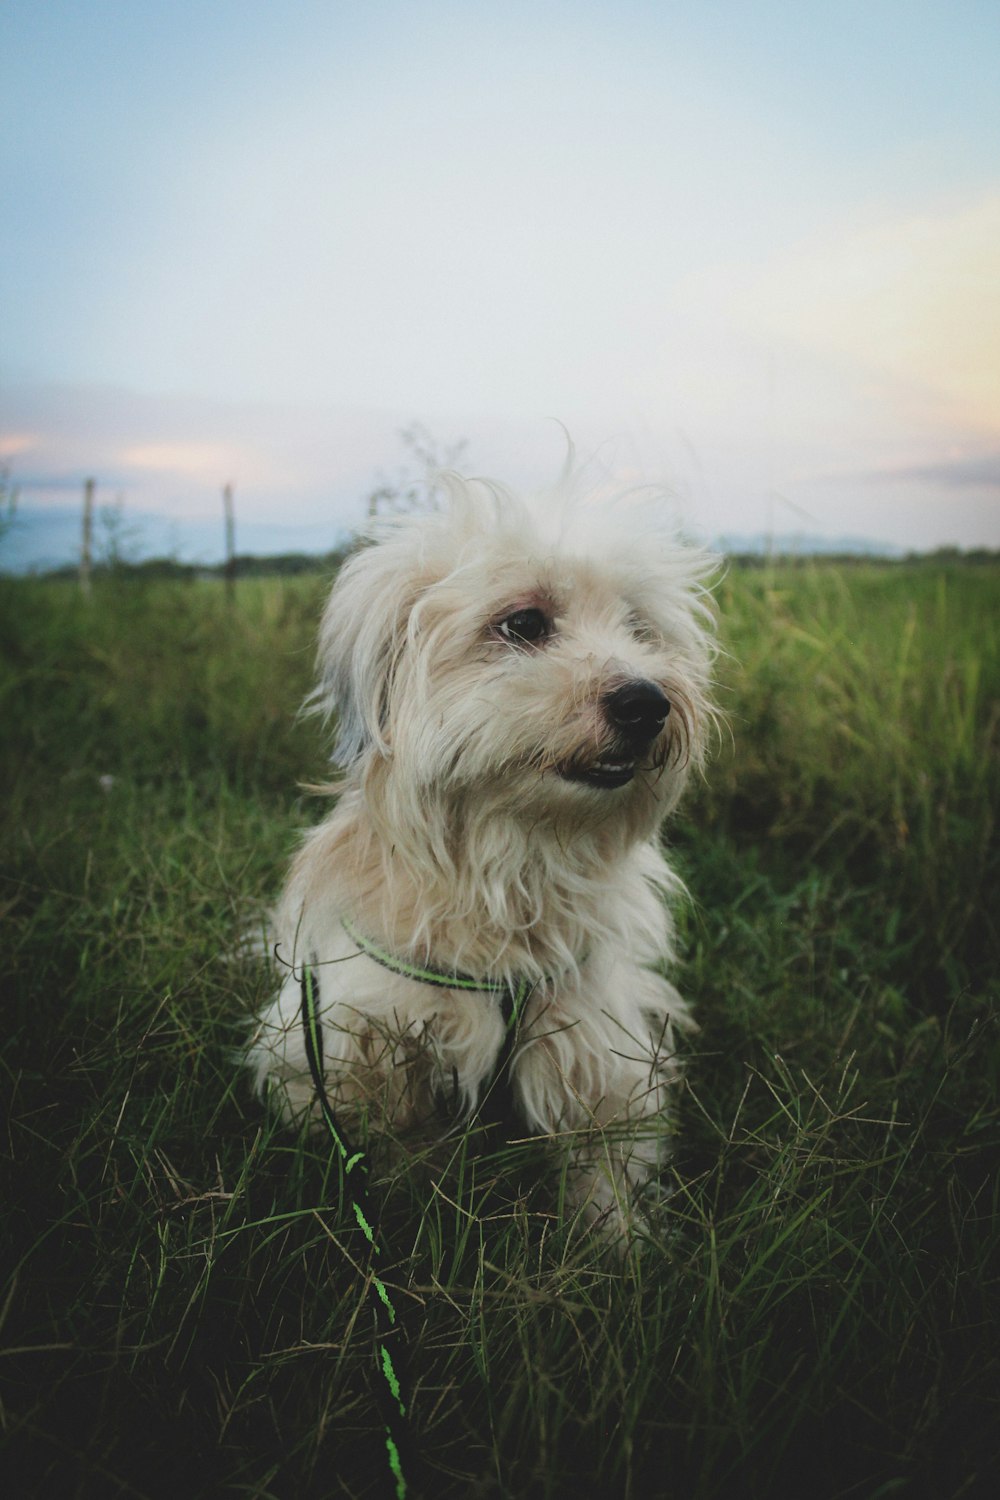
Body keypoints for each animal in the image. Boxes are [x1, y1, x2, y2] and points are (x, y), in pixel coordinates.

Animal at [250, 462, 719, 1236]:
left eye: (638, 629)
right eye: (524, 624)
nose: (649, 703)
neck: (515, 866)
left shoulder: (597, 1051)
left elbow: (605, 1180)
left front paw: (617, 1254)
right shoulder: (370, 1043)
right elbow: (400, 1159)